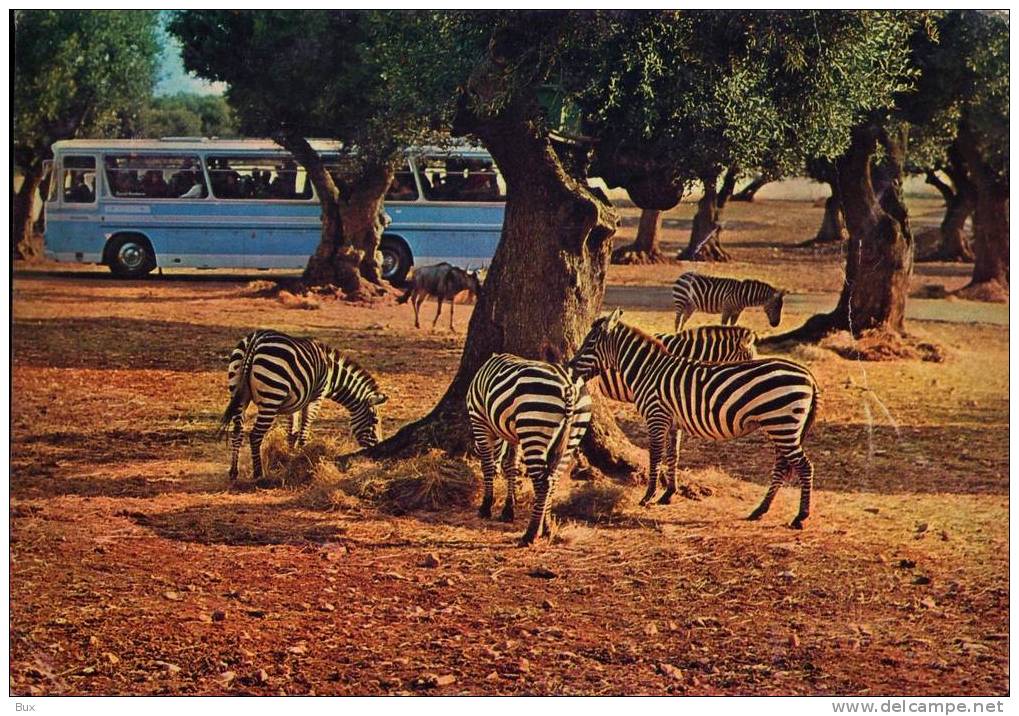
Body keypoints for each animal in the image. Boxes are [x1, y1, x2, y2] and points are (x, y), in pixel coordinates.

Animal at [218, 329, 385, 484]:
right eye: (375, 421)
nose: (378, 449)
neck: (333, 375)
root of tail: (256, 339)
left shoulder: (295, 401)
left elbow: (292, 432)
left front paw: (289, 458)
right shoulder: (316, 397)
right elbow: (304, 431)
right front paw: (302, 457)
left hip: (238, 392)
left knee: (237, 431)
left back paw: (233, 472)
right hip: (272, 396)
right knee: (255, 435)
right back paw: (259, 474)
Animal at [466, 356, 595, 545]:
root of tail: (568, 385)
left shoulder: (479, 421)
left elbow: (489, 466)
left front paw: (486, 507)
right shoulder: (514, 436)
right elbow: (511, 467)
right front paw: (508, 510)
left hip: (533, 427)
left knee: (543, 483)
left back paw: (530, 534)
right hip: (573, 432)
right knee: (553, 479)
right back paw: (547, 528)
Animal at [574, 311, 819, 529]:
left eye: (589, 343)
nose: (568, 367)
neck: (647, 370)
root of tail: (809, 375)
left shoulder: (656, 416)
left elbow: (655, 457)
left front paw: (648, 496)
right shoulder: (672, 422)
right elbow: (673, 455)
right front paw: (667, 494)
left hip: (782, 423)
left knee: (804, 466)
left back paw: (800, 517)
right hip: (782, 425)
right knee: (782, 466)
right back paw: (760, 510)